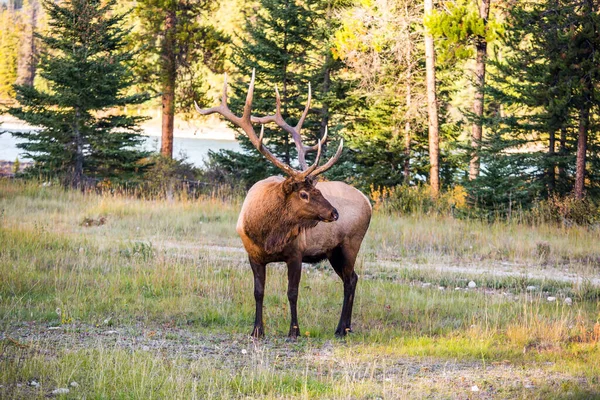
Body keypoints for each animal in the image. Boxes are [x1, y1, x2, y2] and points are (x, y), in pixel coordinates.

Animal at [197, 71, 372, 338]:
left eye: (318, 190)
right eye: (304, 194)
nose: (334, 213)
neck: (267, 234)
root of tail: (368, 201)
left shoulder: (296, 253)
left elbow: (292, 293)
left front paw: (294, 331)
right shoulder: (253, 254)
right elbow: (258, 292)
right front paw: (257, 330)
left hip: (350, 243)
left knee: (351, 279)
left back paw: (341, 328)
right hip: (334, 251)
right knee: (351, 278)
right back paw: (346, 326)